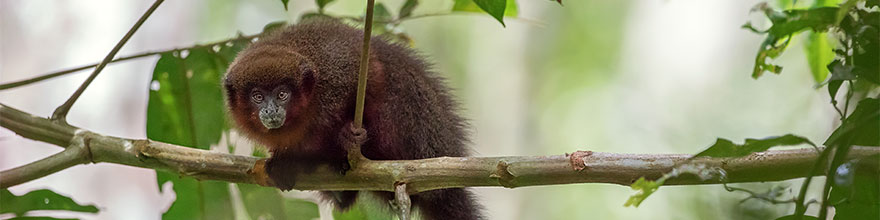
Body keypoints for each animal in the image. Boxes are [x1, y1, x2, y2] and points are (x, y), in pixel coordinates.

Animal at [220, 18, 482, 220]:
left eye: (282, 94)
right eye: (257, 96)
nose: (270, 110)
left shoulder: (339, 69)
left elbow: (374, 71)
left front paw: (348, 136)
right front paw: (286, 160)